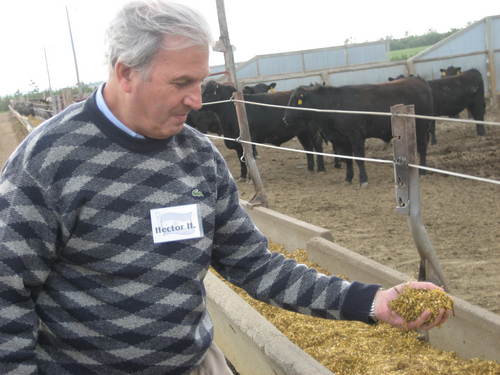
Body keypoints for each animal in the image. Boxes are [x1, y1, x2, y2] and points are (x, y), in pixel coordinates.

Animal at [282, 77, 434, 186]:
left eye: (296, 101)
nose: (285, 119)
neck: (333, 105)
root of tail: (418, 80)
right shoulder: (342, 139)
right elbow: (348, 159)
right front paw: (348, 178)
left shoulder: (355, 136)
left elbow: (359, 159)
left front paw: (363, 180)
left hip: (421, 127)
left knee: (422, 147)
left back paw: (422, 171)